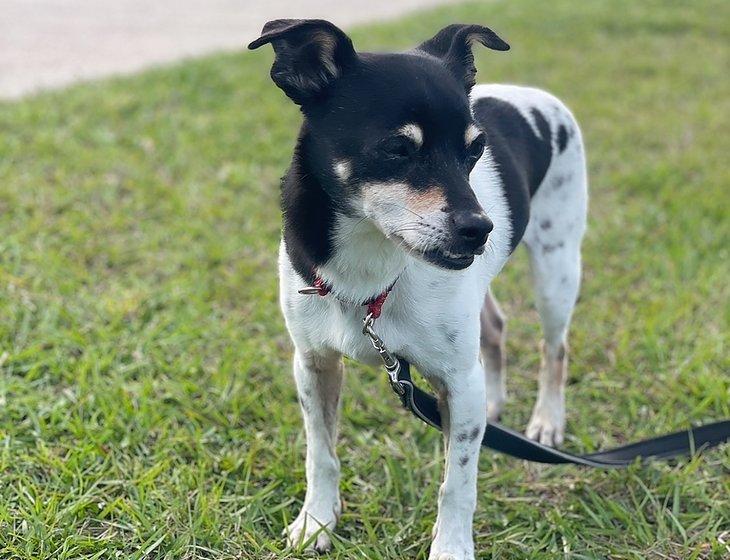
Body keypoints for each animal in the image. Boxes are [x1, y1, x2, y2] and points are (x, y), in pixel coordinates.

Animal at [250, 19, 584, 556]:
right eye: (397, 149)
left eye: (475, 150)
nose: (481, 229)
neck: (370, 268)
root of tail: (535, 95)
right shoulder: (313, 363)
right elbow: (320, 454)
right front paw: (317, 521)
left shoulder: (456, 379)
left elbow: (457, 484)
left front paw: (451, 547)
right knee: (495, 328)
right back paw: (494, 404)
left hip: (557, 270)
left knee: (555, 348)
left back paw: (548, 420)